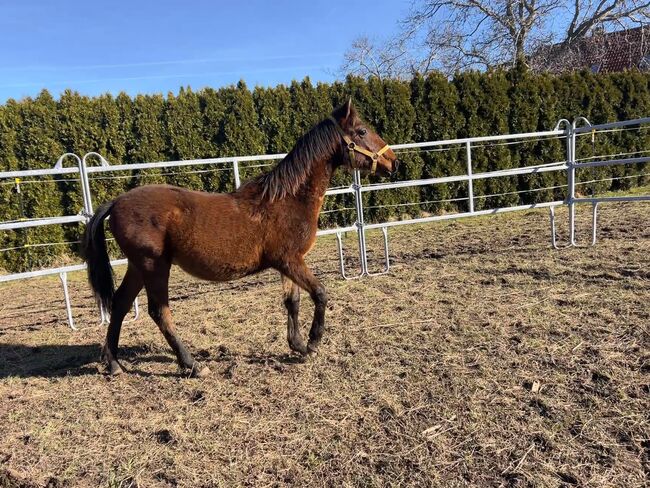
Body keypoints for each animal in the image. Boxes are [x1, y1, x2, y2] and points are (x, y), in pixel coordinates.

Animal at [81, 100, 394, 378]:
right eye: (362, 131)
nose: (393, 161)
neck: (287, 199)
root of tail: (117, 202)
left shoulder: (290, 263)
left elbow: (292, 302)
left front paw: (297, 346)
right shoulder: (289, 261)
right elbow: (320, 293)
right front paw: (313, 342)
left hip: (137, 267)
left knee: (120, 304)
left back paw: (114, 364)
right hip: (154, 266)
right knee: (159, 312)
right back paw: (192, 365)